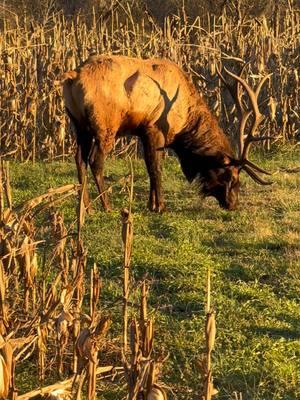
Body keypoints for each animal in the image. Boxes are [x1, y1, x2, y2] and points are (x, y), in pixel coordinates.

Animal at [62, 55, 272, 214]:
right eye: (232, 177)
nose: (233, 204)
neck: (184, 122)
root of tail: (73, 77)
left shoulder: (145, 133)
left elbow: (151, 166)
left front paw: (151, 204)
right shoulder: (155, 128)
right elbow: (156, 168)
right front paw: (160, 206)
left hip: (78, 125)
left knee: (79, 158)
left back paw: (86, 207)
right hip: (105, 126)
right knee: (95, 160)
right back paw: (106, 206)